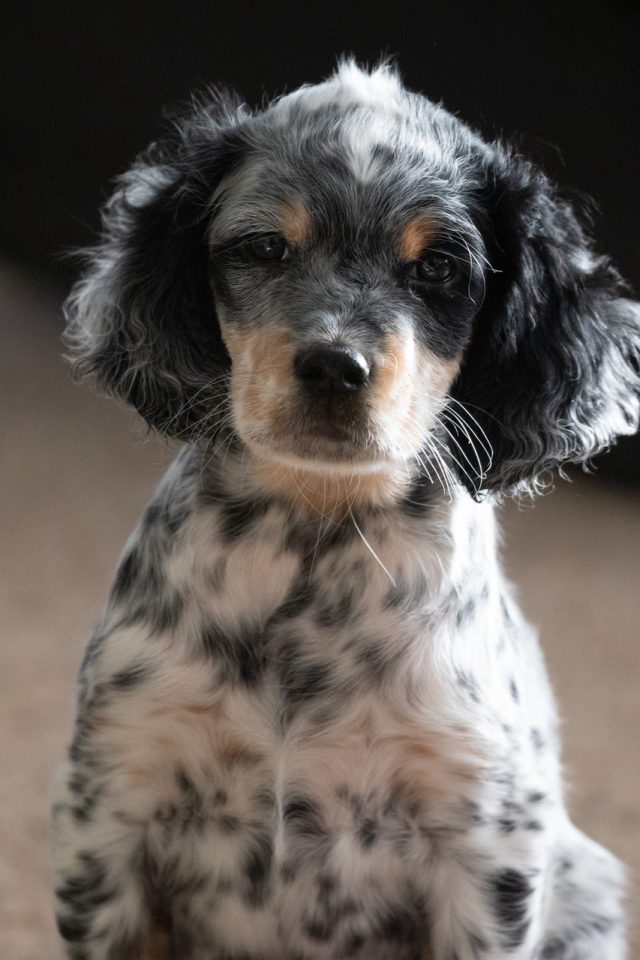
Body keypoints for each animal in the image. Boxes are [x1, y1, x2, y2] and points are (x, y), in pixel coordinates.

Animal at [53, 62, 640, 960]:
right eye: (265, 247)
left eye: (437, 269)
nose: (334, 365)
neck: (316, 535)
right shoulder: (115, 798)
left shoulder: (485, 839)